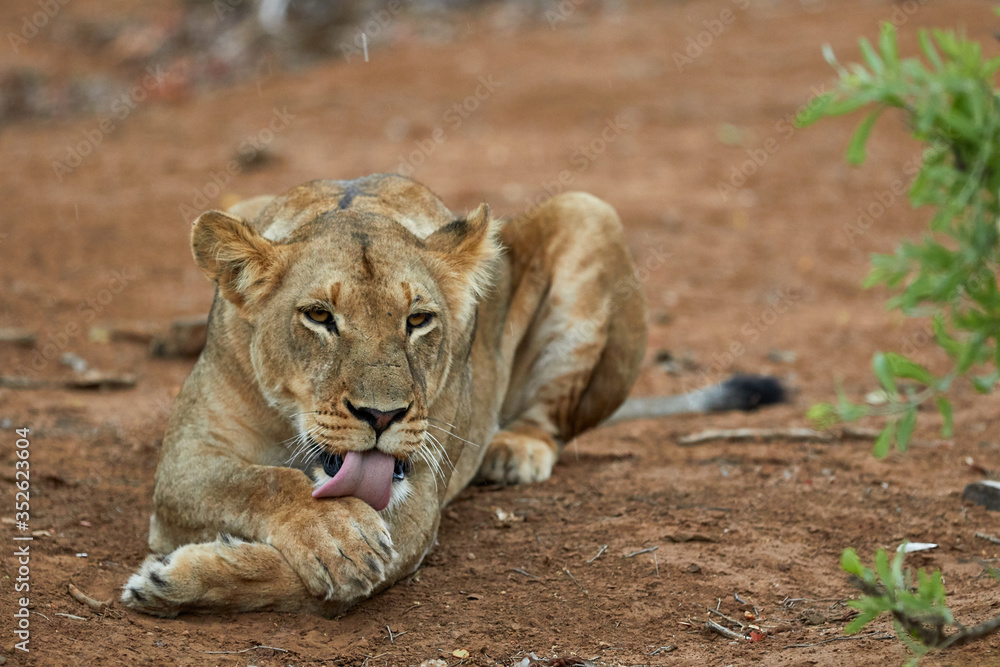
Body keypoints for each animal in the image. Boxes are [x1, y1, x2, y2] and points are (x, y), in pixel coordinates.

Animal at [122, 174, 781, 617]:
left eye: (417, 320)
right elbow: (261, 481)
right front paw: (334, 533)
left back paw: (514, 449)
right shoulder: (184, 462)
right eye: (319, 316)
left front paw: (176, 580)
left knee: (554, 418)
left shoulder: (415, 506)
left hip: (588, 212)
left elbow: (339, 567)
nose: (382, 415)